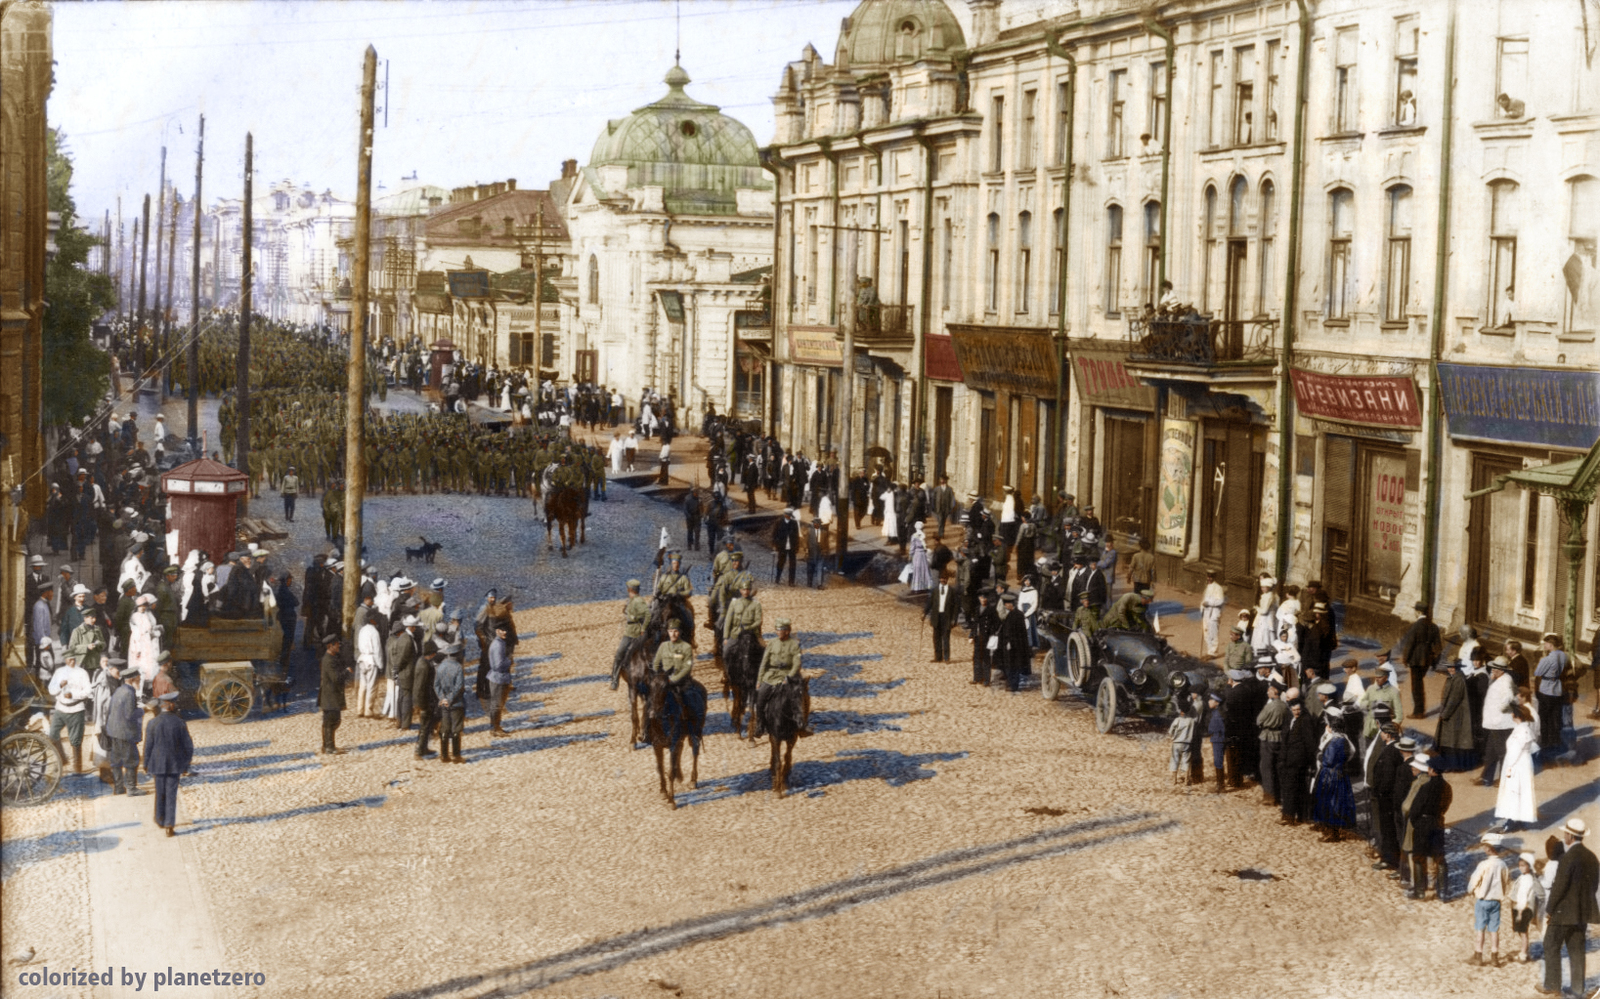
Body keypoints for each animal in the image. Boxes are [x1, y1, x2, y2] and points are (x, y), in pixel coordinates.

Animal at [643, 666, 707, 806]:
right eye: (650, 686)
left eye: (665, 687)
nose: (652, 713)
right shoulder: (657, 745)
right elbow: (660, 768)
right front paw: (663, 791)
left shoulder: (673, 743)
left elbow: (670, 771)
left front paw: (672, 800)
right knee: (681, 750)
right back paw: (680, 775)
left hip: (695, 732)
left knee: (695, 750)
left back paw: (693, 780)